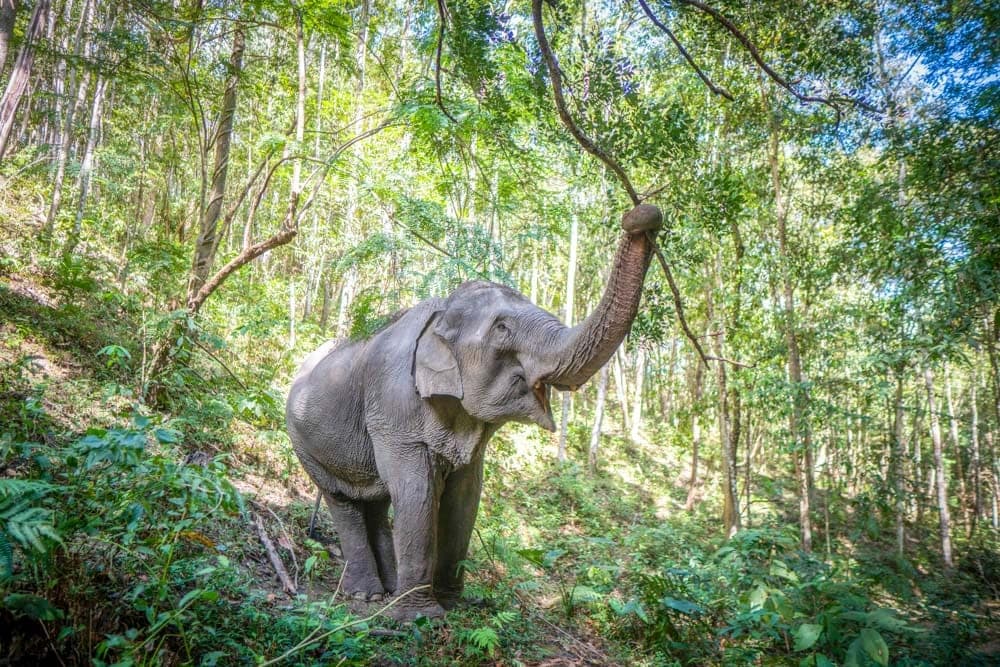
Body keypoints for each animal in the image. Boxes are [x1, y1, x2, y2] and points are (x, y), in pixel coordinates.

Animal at [285, 204, 662, 621]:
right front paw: (420, 616)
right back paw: (367, 596)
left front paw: (451, 603)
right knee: (344, 501)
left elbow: (465, 496)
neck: (441, 312)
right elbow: (417, 493)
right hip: (304, 443)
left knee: (378, 502)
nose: (642, 216)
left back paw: (386, 591)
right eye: (502, 328)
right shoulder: (391, 407)